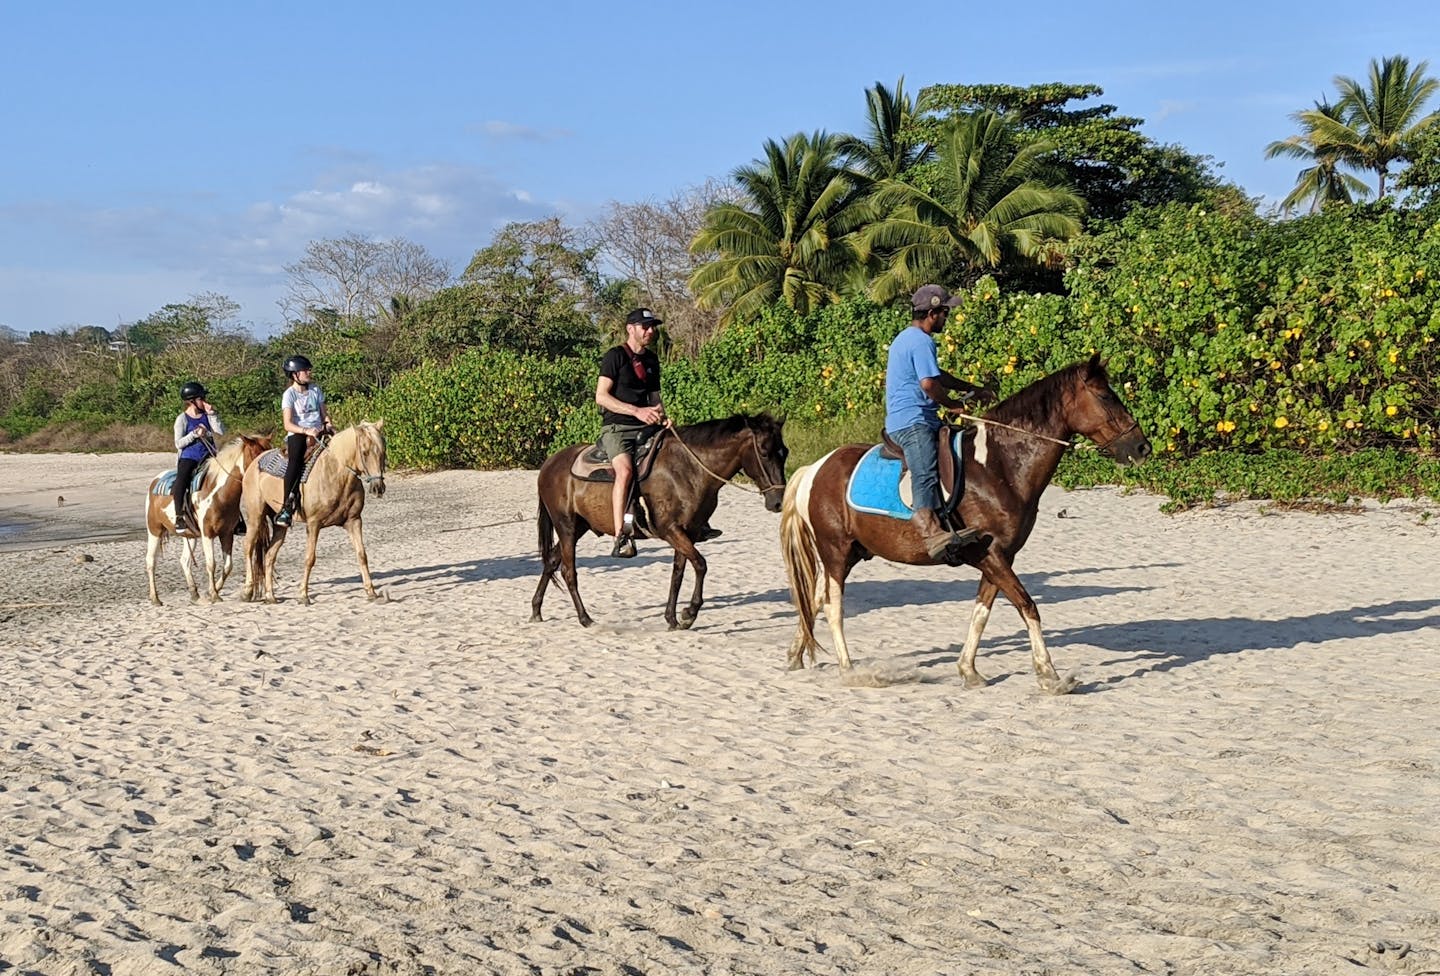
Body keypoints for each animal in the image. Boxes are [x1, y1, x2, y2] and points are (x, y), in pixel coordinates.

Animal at [144, 434, 272, 604]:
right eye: (257, 454)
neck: (218, 494)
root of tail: (154, 482)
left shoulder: (227, 534)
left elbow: (228, 565)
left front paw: (213, 590)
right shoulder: (207, 534)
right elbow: (211, 564)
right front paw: (214, 594)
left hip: (190, 535)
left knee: (184, 561)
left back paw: (194, 593)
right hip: (154, 530)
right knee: (151, 561)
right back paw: (155, 598)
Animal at [535, 414, 794, 630]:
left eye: (785, 452)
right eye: (764, 452)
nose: (778, 502)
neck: (689, 470)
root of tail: (549, 464)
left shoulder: (687, 533)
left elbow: (678, 573)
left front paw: (672, 618)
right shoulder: (671, 530)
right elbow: (700, 565)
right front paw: (689, 613)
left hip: (580, 526)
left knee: (552, 561)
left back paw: (536, 609)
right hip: (567, 527)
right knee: (568, 571)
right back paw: (585, 618)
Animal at [783, 359, 1152, 696]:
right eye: (1104, 396)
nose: (1142, 447)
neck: (999, 467)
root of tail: (815, 468)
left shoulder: (998, 557)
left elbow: (982, 612)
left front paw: (968, 671)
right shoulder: (991, 554)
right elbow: (1027, 606)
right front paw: (1050, 676)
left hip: (853, 553)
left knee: (814, 600)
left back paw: (796, 653)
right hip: (836, 551)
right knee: (833, 606)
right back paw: (850, 670)